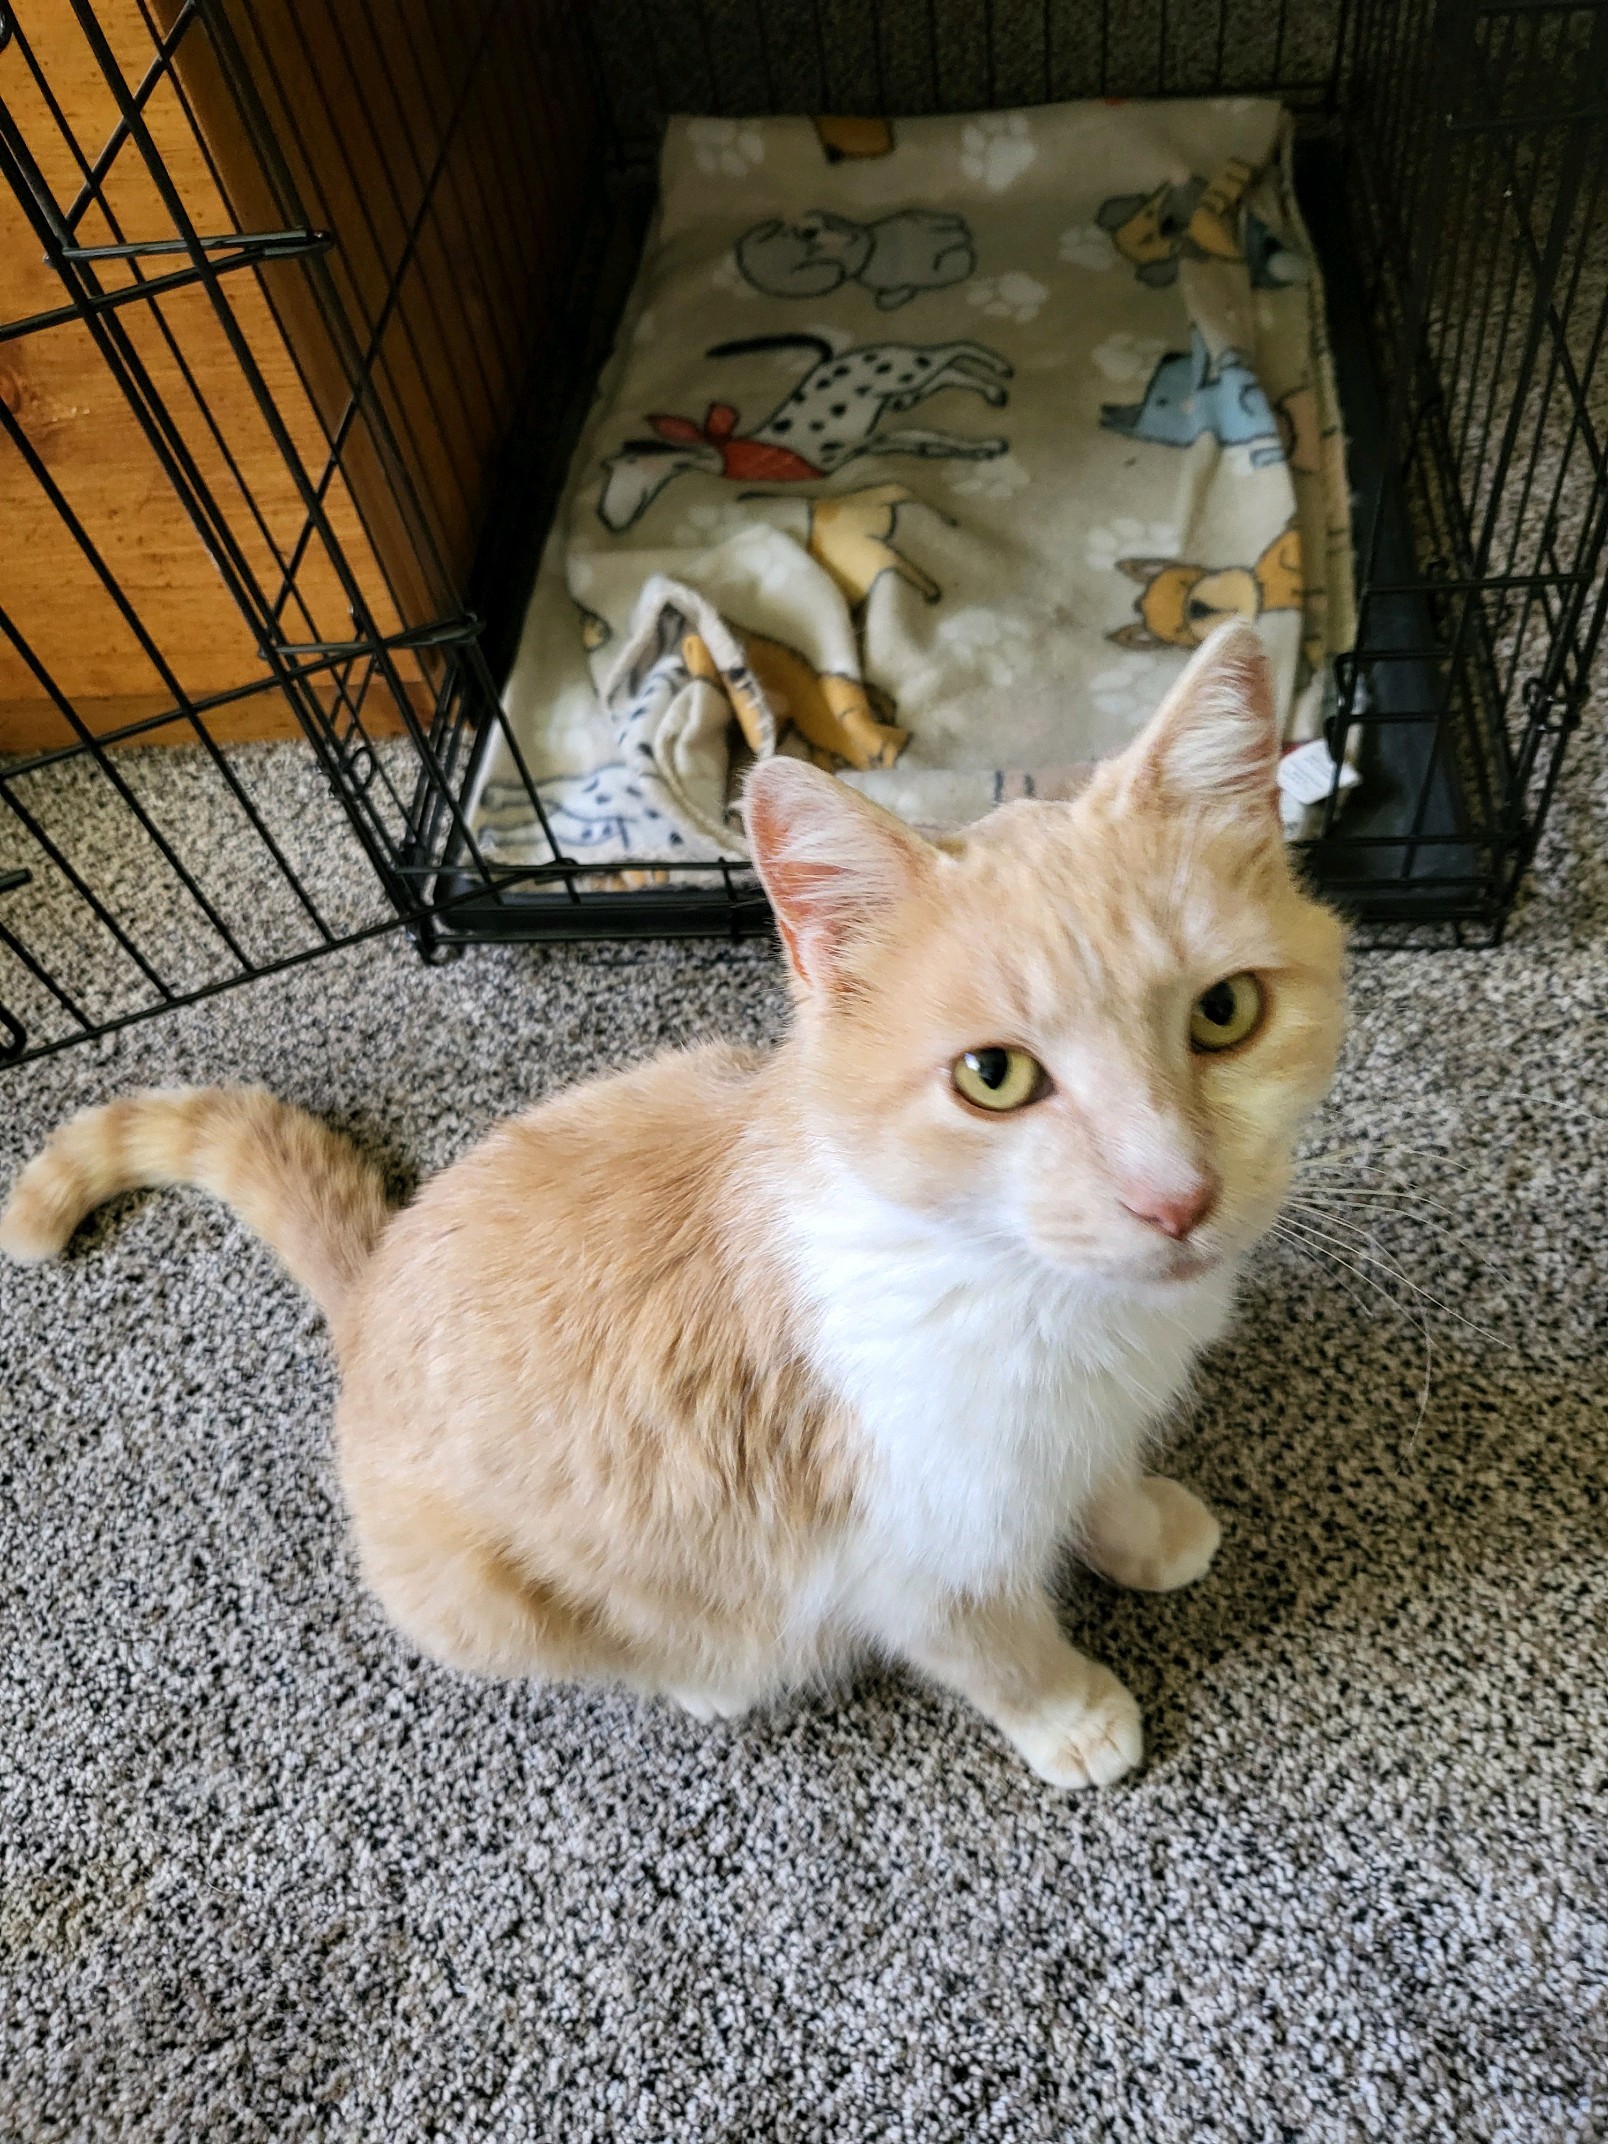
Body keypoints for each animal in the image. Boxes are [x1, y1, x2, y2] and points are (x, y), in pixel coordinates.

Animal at [0, 626, 1346, 1792]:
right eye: (995, 1077)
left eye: (1225, 1011)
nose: (1175, 1195)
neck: (1029, 1293)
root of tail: (375, 1276)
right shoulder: (909, 1553)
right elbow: (992, 1645)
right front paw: (1072, 1711)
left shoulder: (1081, 1431)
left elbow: (1099, 1479)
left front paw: (1138, 1526)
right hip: (480, 1596)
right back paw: (708, 1674)